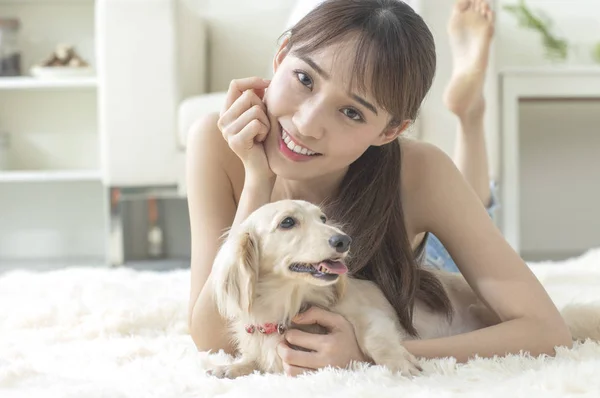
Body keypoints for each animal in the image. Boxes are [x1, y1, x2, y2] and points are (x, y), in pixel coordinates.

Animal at [207, 201, 600, 378]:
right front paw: (229, 368)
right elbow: (252, 360)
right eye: (287, 222)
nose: (343, 240)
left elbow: (374, 339)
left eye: (322, 218)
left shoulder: (372, 316)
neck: (290, 305)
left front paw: (399, 364)